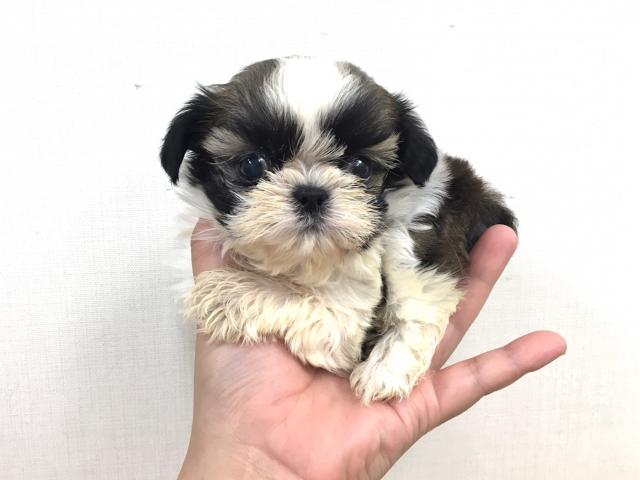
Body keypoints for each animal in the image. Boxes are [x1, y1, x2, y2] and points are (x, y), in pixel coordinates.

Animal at [160, 56, 516, 404]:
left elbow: (298, 297)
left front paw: (227, 291)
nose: (311, 193)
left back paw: (383, 372)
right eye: (252, 165)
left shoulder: (346, 321)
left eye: (360, 166)